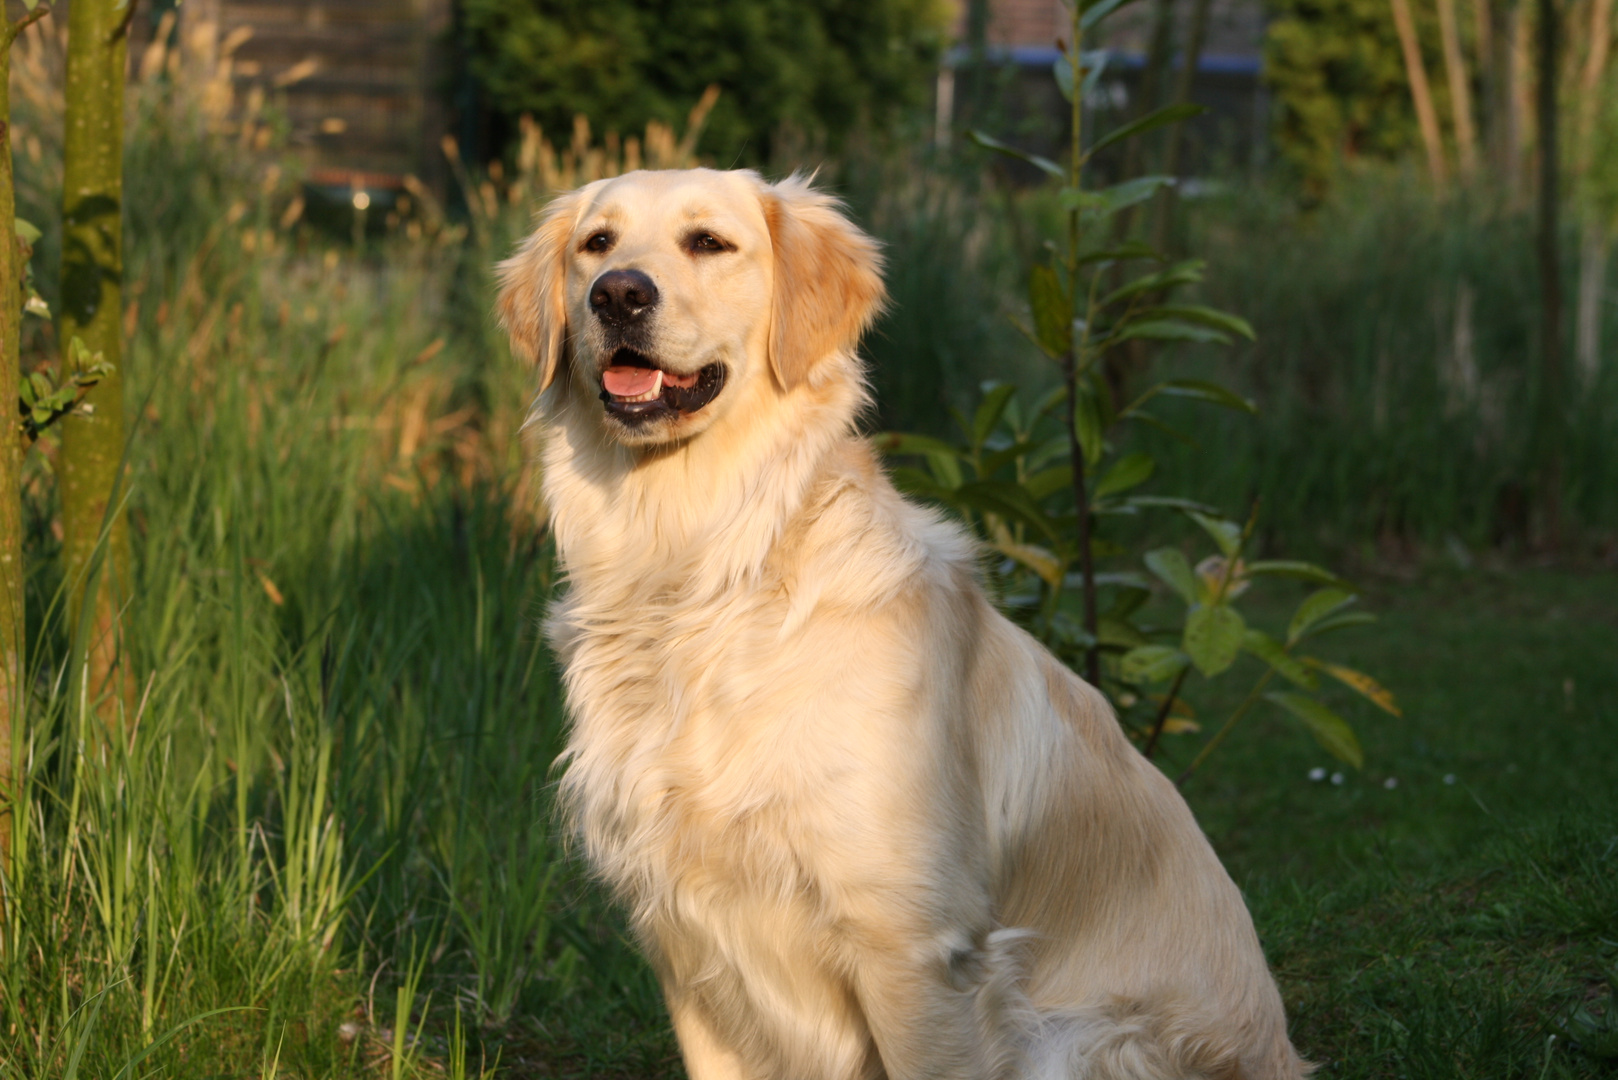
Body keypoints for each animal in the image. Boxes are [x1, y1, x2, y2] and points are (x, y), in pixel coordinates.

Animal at [498, 170, 1307, 1080]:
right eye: (596, 245)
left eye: (709, 242)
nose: (618, 294)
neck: (703, 574)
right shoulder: (688, 943)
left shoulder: (911, 945)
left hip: (1073, 1038)